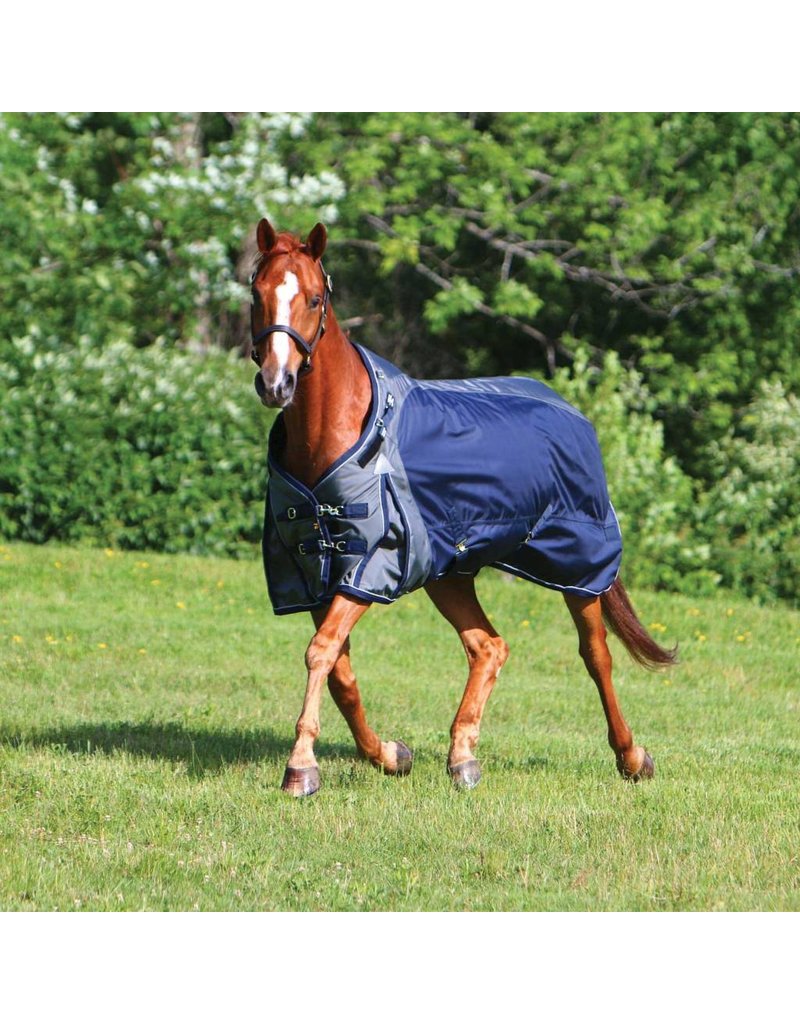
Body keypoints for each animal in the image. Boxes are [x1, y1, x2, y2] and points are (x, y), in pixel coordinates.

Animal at [249, 220, 676, 794]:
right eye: (258, 294)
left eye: (314, 299)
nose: (277, 384)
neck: (339, 433)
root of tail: (572, 413)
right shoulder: (316, 571)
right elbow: (339, 668)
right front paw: (389, 755)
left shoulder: (370, 567)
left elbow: (322, 652)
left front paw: (301, 767)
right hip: (450, 574)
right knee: (488, 647)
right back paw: (463, 758)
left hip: (579, 569)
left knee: (596, 656)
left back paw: (631, 757)